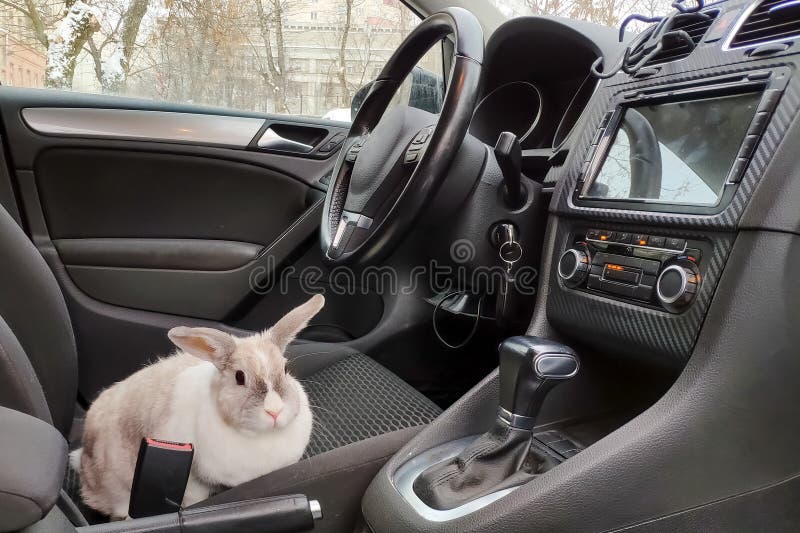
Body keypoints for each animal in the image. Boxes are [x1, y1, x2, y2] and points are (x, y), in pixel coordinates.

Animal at [73, 294, 324, 516]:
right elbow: (195, 496)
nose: (274, 410)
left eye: (285, 369)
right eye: (239, 377)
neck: (261, 438)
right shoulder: (193, 479)